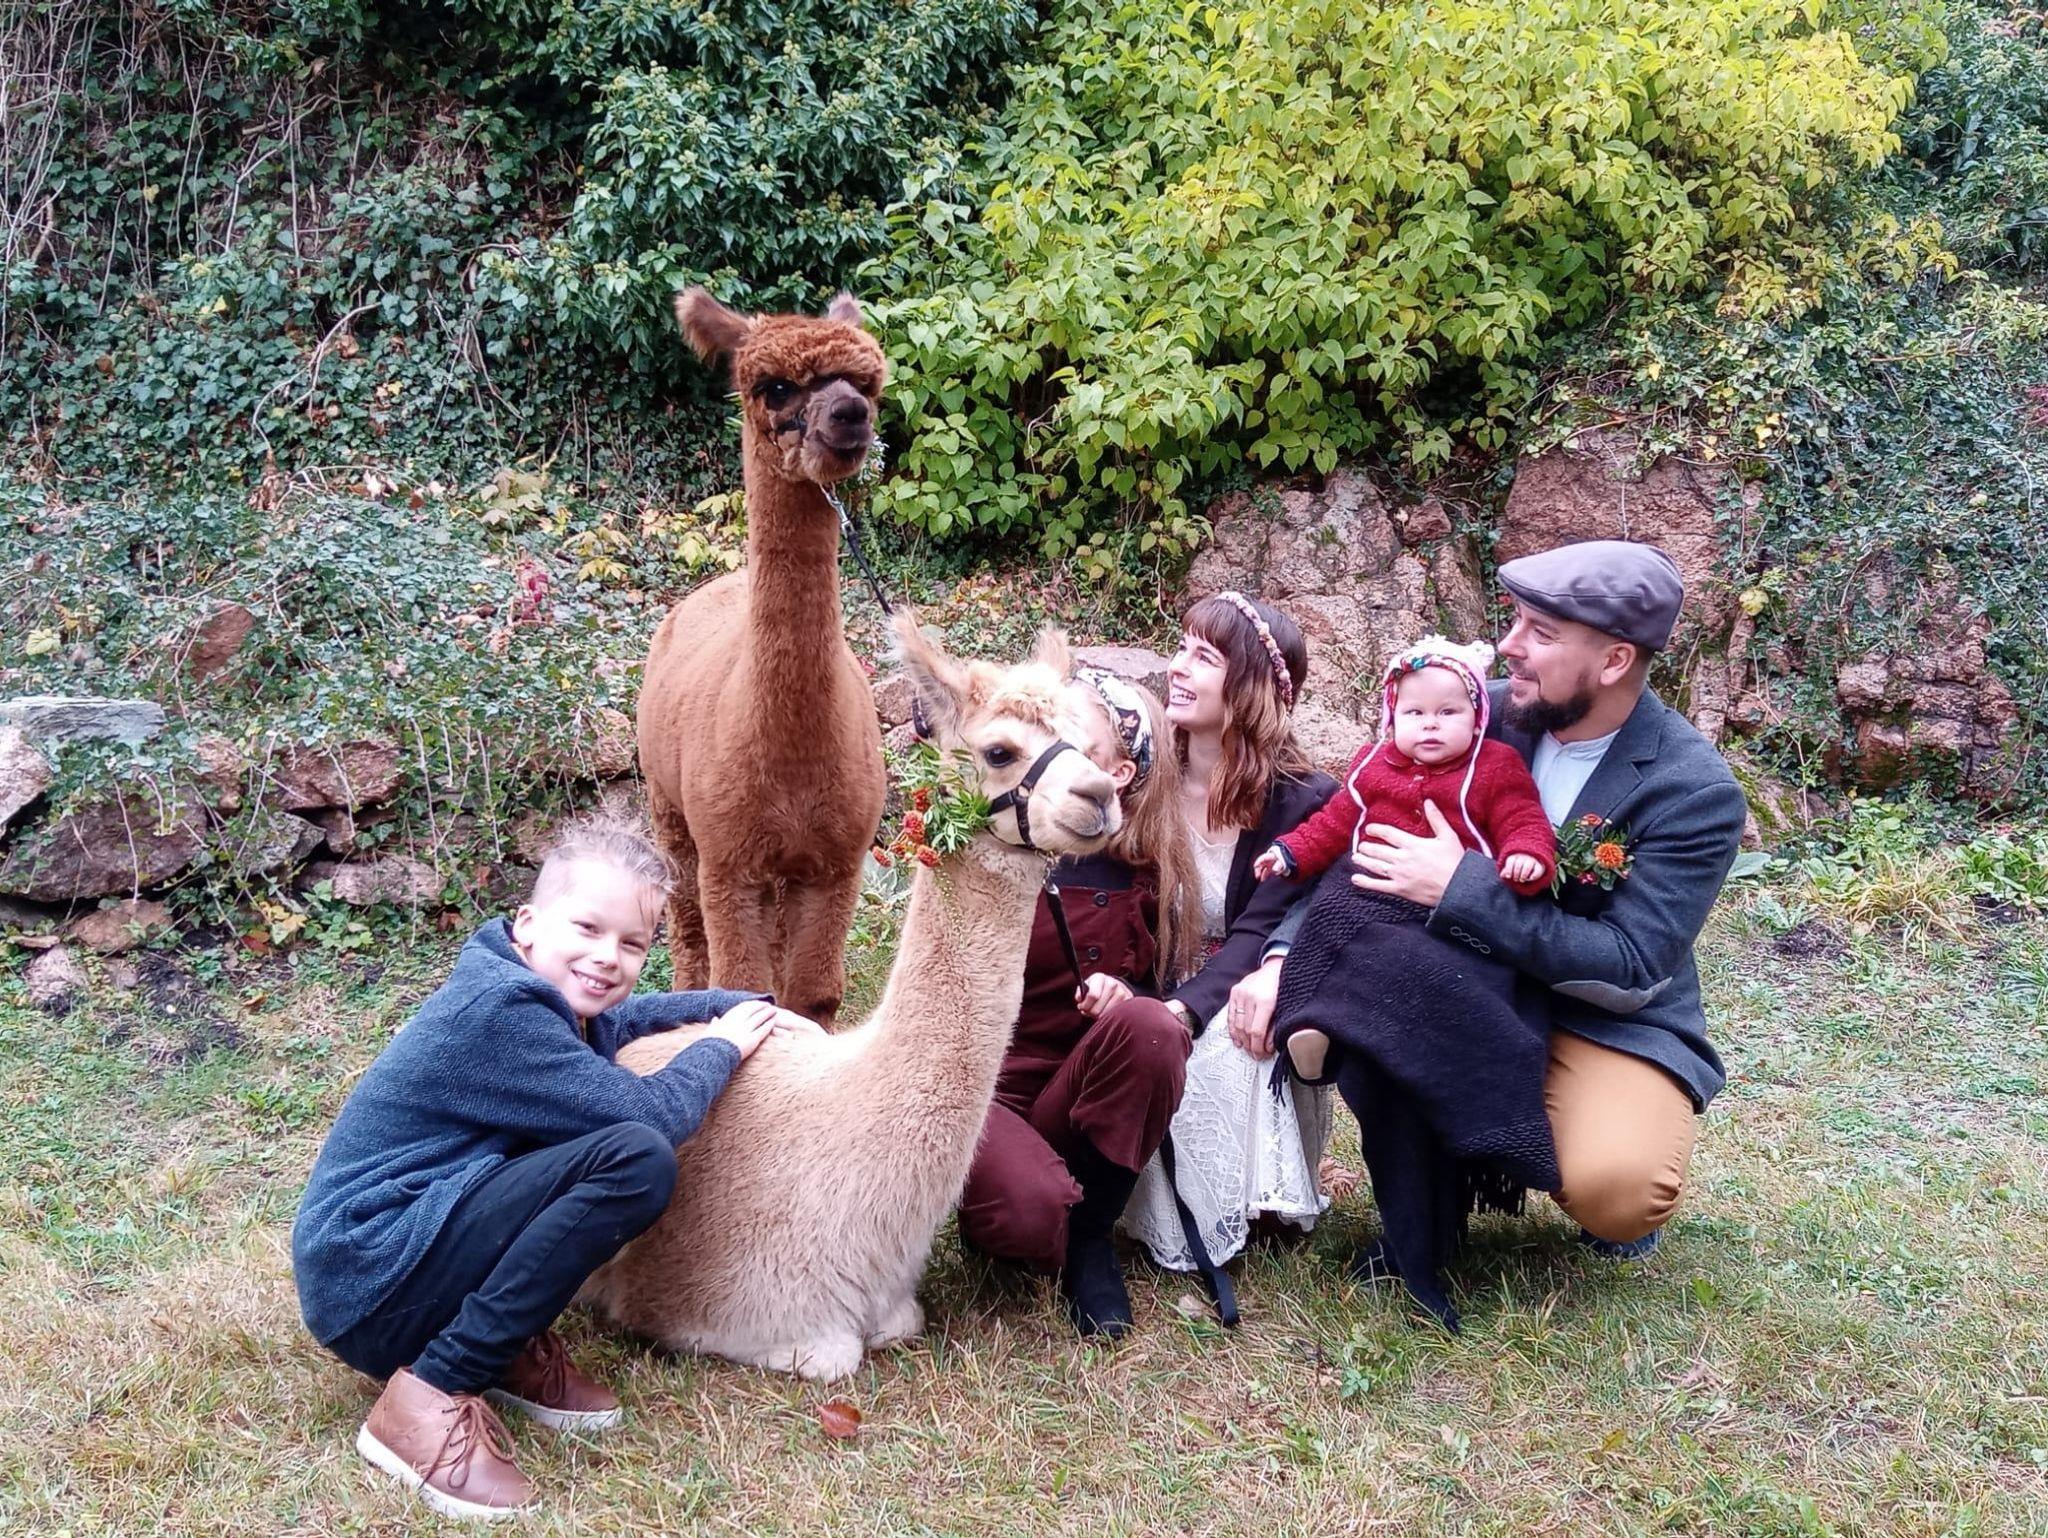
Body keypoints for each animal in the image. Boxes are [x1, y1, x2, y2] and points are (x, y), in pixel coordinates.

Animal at [582, 611, 1120, 1381]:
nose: (1099, 795)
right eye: (999, 750)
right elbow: (828, 1354)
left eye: (1085, 742)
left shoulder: (896, 1311)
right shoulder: (771, 1316)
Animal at [637, 287, 889, 1025]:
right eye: (775, 387)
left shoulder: (838, 860)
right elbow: (740, 981)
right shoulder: (728, 858)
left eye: (867, 382)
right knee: (686, 927)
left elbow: (814, 994)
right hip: (668, 807)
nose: (850, 415)